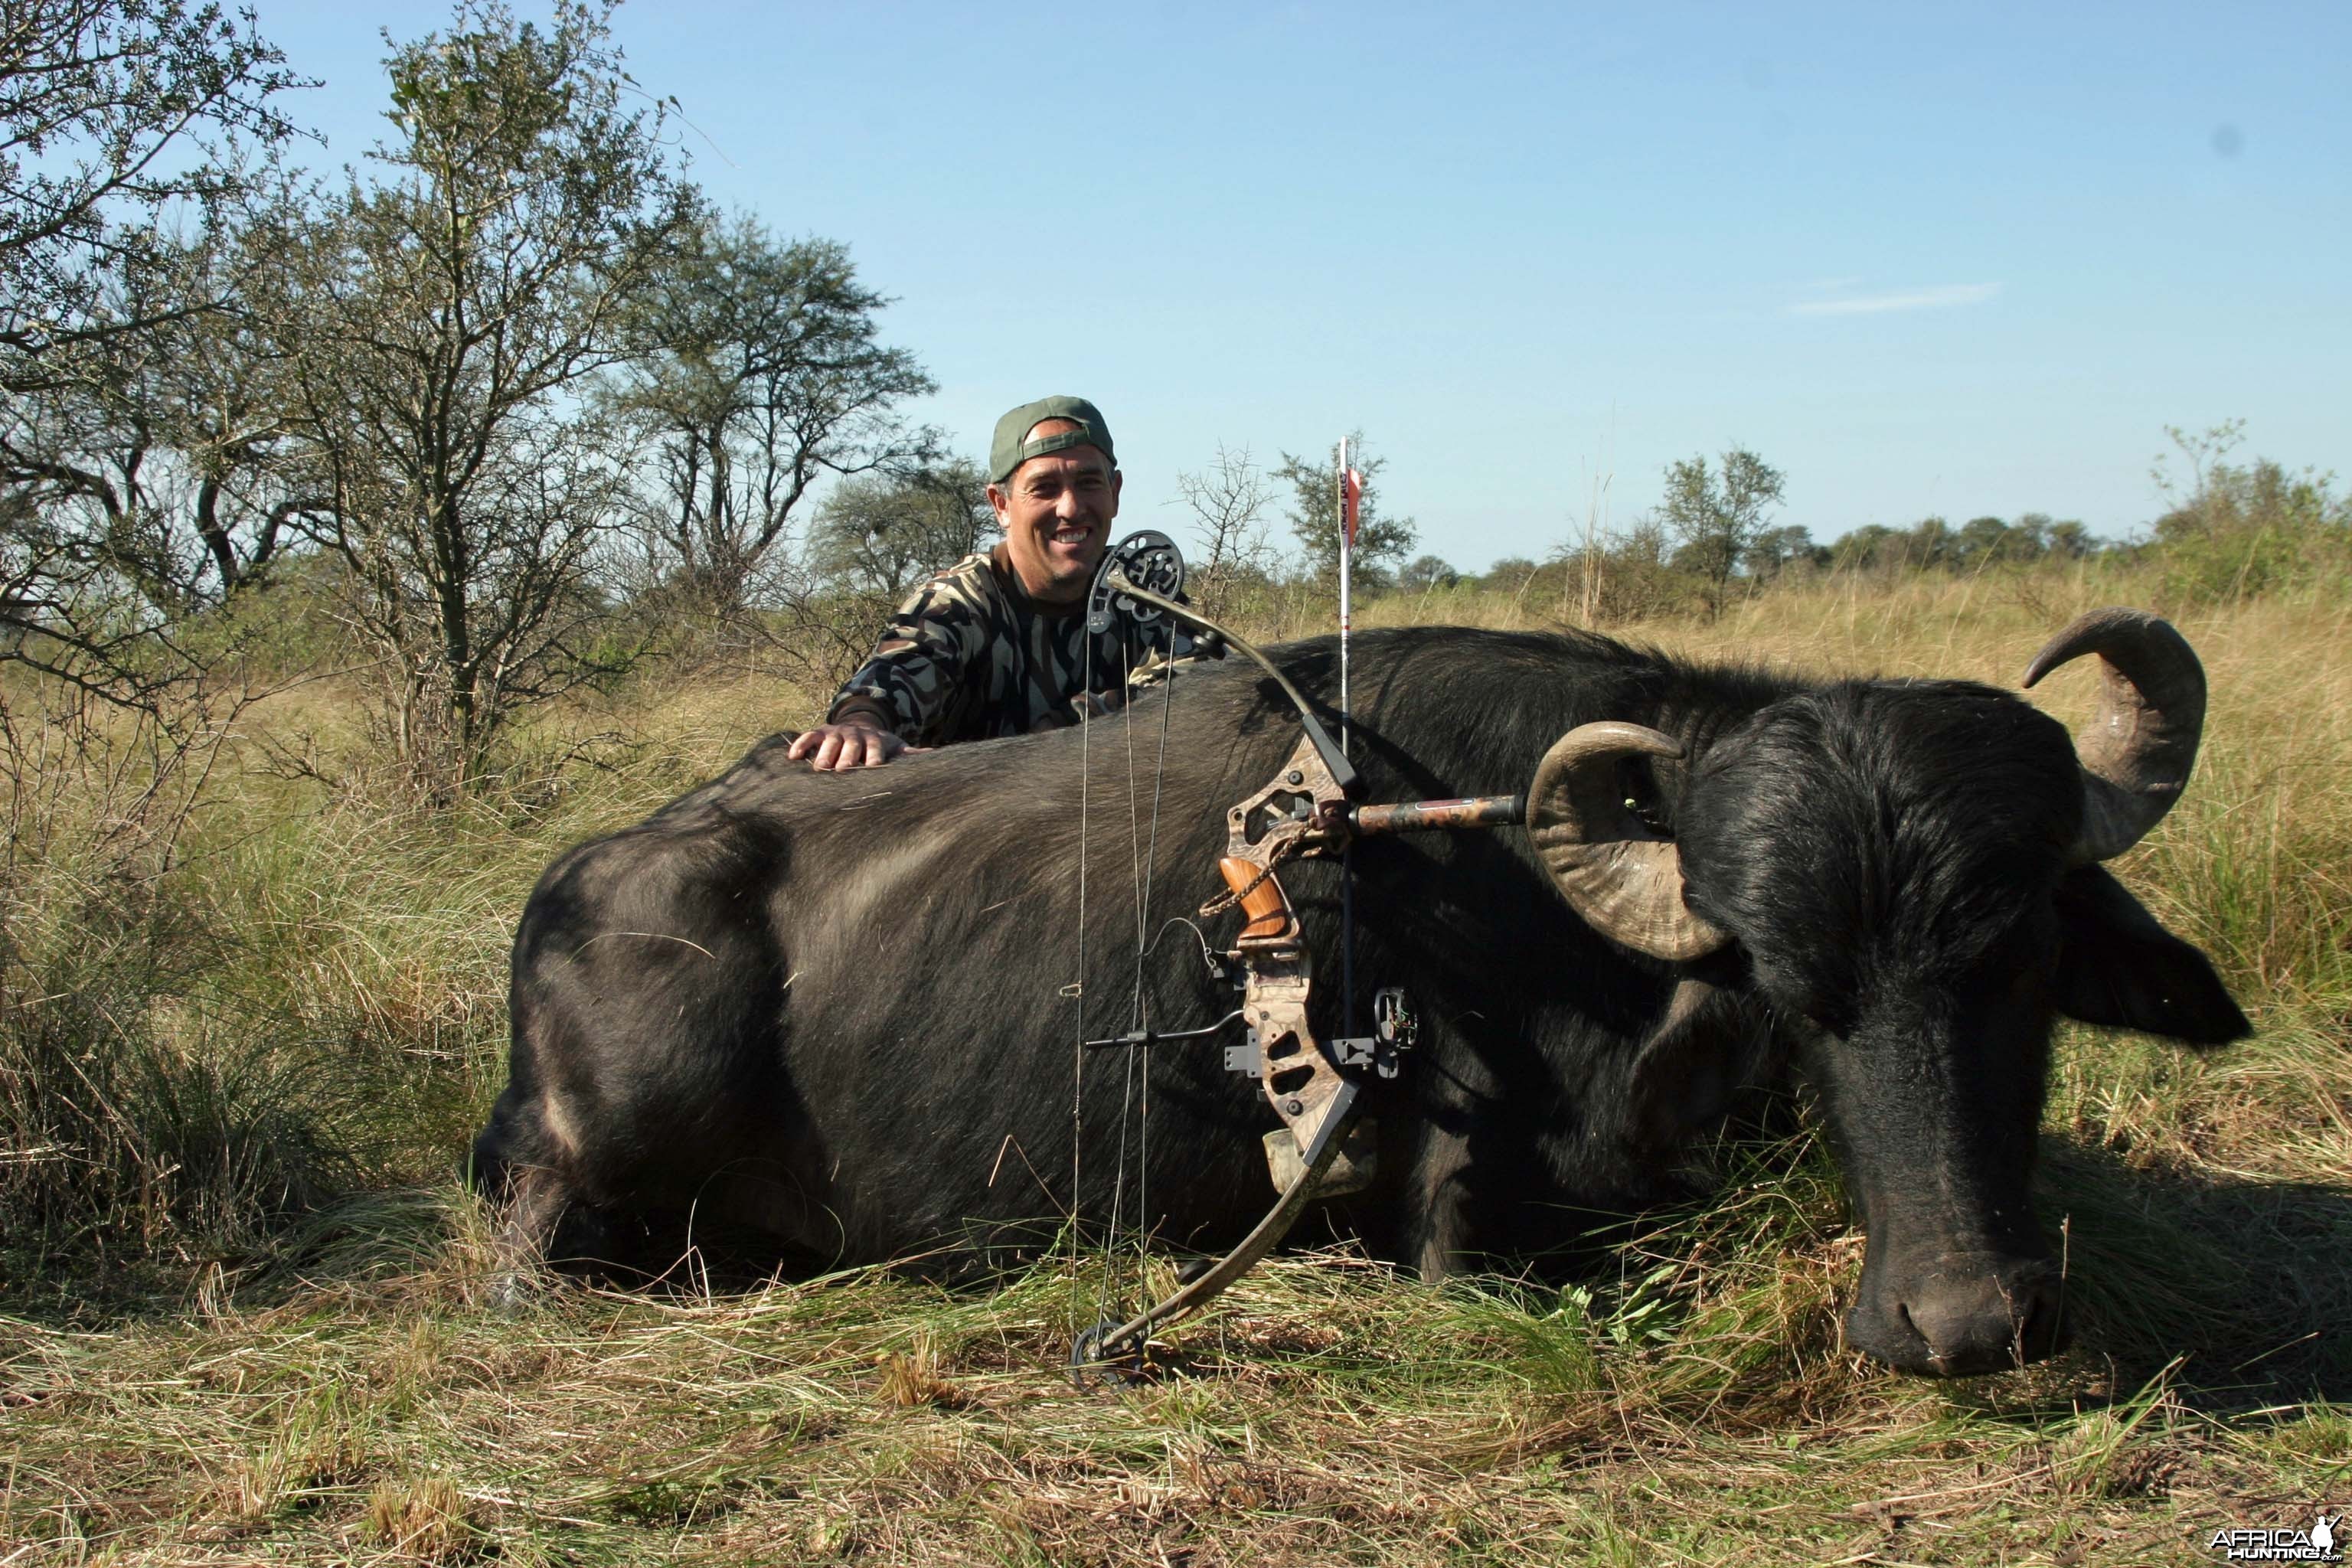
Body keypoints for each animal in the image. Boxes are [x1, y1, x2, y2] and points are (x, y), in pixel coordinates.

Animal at [472, 611, 2239, 1373]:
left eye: (2015, 960)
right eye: (1797, 986)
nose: (1966, 1324)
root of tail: (576, 883)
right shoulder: (1461, 1223)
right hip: (589, 1150)